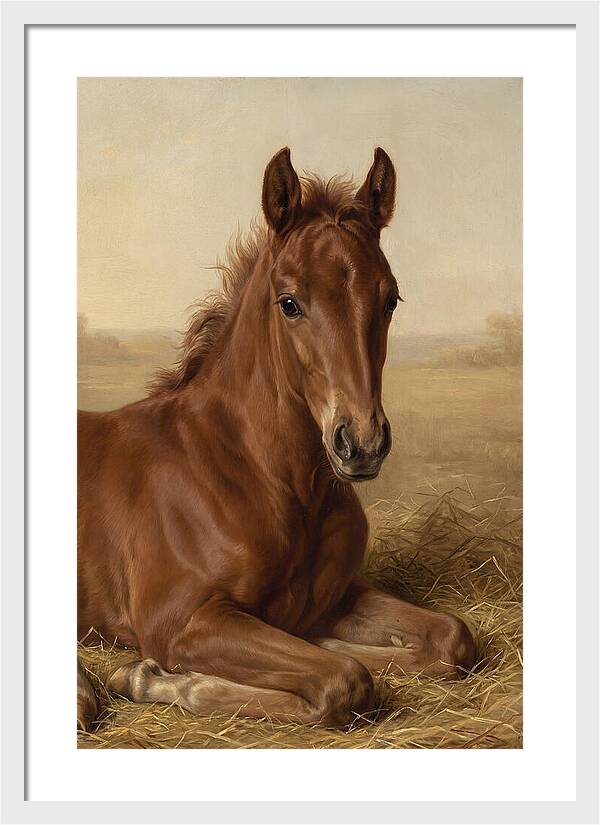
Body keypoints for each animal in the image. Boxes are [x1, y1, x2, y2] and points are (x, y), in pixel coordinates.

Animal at [77, 147, 476, 732]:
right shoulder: (180, 621)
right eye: (289, 303)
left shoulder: (334, 597)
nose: (362, 443)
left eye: (391, 299)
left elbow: (450, 639)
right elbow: (344, 679)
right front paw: (148, 677)